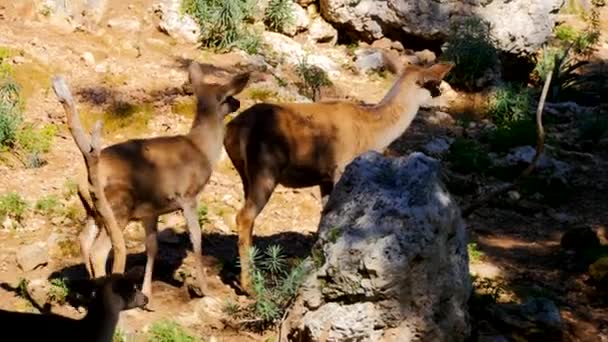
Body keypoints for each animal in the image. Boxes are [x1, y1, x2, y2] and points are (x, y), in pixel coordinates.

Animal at [52, 61, 251, 302]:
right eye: (229, 96)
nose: (238, 103)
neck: (202, 149)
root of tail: (82, 180)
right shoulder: (188, 196)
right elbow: (196, 238)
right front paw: (204, 289)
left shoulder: (151, 210)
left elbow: (152, 247)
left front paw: (147, 295)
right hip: (118, 206)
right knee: (99, 251)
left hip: (93, 211)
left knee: (83, 241)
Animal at [222, 60, 452, 292]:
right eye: (437, 85)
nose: (444, 104)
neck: (373, 132)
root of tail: (234, 128)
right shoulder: (341, 167)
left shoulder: (324, 178)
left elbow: (325, 216)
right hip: (266, 167)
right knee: (244, 216)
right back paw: (249, 285)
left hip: (245, 173)